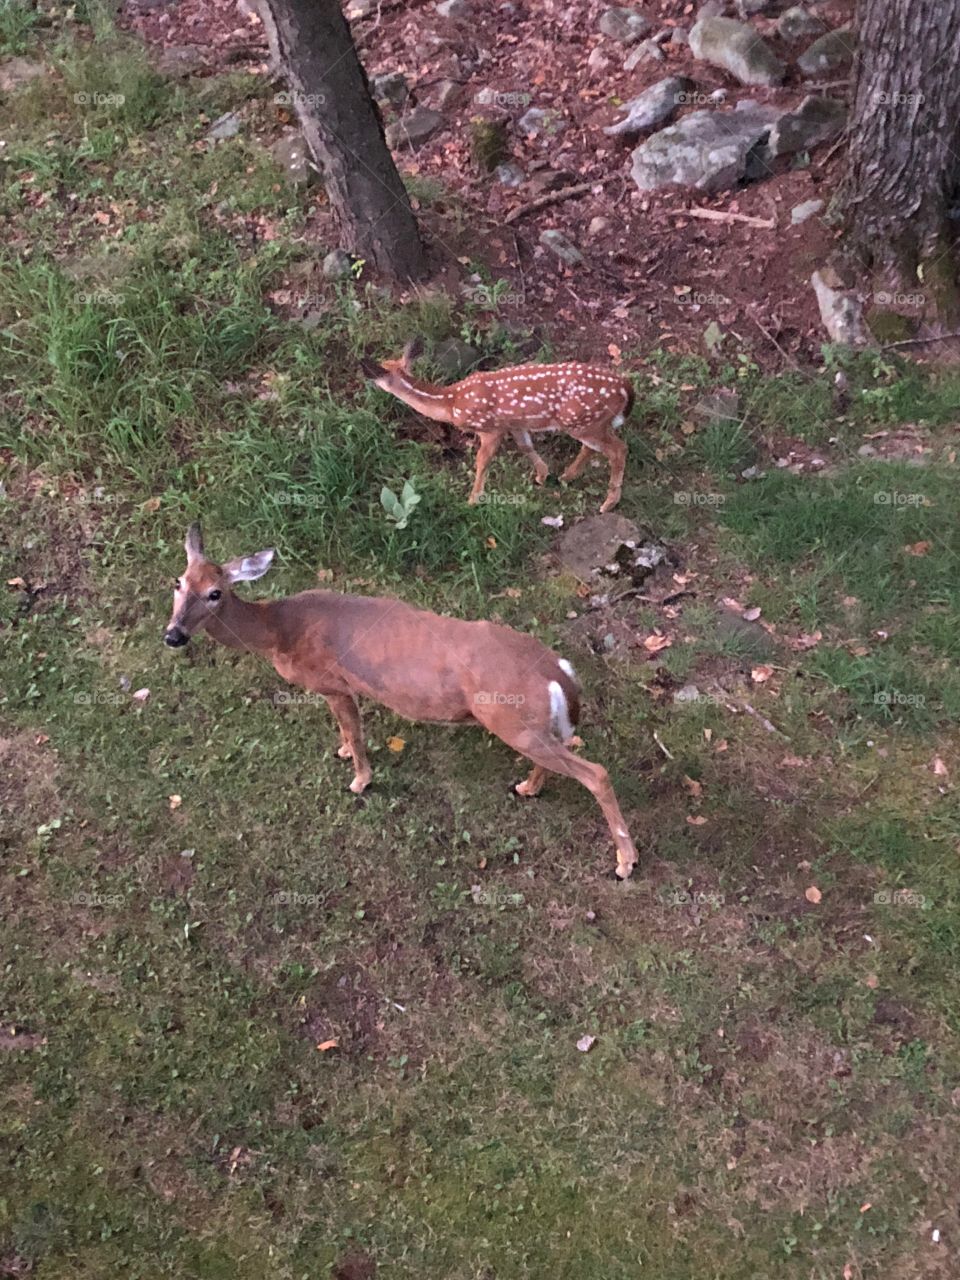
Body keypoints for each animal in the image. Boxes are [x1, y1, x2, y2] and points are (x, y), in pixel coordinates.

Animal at [163, 524, 638, 879]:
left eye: (215, 593)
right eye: (178, 582)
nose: (173, 635)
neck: (278, 631)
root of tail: (557, 668)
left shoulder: (334, 683)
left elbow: (355, 732)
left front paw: (359, 779)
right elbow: (346, 731)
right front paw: (341, 752)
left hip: (509, 717)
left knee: (596, 773)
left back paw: (625, 863)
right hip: (529, 725)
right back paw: (527, 787)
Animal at [361, 340, 634, 512]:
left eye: (378, 377)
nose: (368, 383)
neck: (451, 402)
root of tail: (625, 387)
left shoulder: (489, 428)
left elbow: (482, 460)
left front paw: (472, 500)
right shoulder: (514, 423)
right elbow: (525, 447)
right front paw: (542, 475)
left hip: (583, 422)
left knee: (618, 449)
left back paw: (608, 503)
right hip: (590, 423)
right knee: (596, 447)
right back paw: (567, 475)